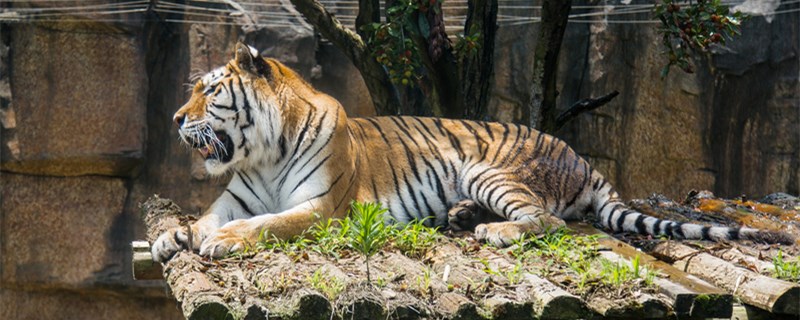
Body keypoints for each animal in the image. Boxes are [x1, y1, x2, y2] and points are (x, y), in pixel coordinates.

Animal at [152, 42, 792, 262]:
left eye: (208, 91)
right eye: (192, 90)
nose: (176, 118)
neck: (261, 152)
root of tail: (584, 161)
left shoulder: (324, 209)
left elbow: (269, 224)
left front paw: (221, 241)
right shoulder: (234, 197)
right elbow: (206, 215)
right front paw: (171, 236)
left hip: (489, 167)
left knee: (549, 221)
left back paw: (492, 229)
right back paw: (461, 216)